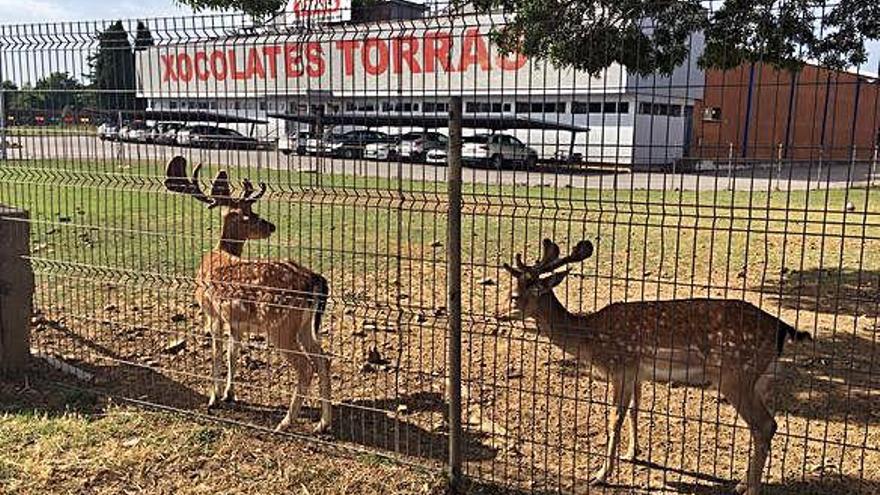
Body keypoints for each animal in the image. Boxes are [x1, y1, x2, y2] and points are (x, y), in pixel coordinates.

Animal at [163, 157, 332, 432]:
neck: (218, 254)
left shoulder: (211, 312)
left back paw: (286, 422)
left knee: (306, 367)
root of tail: (315, 281)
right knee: (322, 360)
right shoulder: (235, 321)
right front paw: (229, 394)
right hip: (305, 325)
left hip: (281, 325)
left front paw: (213, 398)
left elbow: (217, 353)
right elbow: (233, 353)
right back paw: (323, 422)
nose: (271, 226)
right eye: (250, 215)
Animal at [502, 238, 812, 494]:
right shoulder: (638, 373)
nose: (498, 313)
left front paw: (601, 474)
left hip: (736, 375)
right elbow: (635, 411)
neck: (592, 340)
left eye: (516, 296)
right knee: (765, 425)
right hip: (759, 378)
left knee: (764, 424)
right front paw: (632, 453)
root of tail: (782, 327)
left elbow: (614, 418)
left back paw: (750, 489)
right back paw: (741, 483)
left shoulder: (621, 366)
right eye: (510, 289)